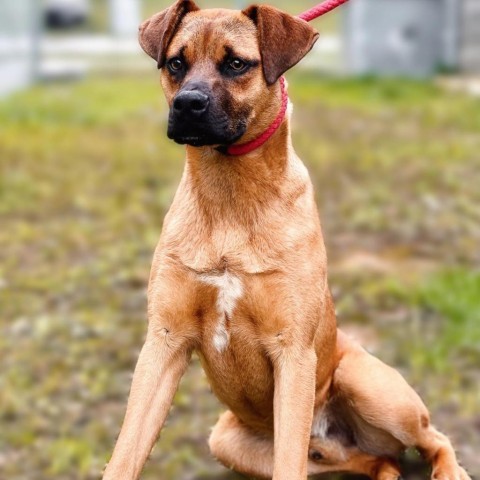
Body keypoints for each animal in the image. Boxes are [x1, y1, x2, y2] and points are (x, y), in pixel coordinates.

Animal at [102, 1, 472, 478]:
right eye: (176, 63)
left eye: (236, 63)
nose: (187, 105)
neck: (230, 201)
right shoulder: (163, 343)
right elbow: (125, 452)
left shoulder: (292, 353)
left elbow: (289, 464)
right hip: (231, 440)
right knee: (374, 459)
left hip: (372, 389)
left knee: (434, 438)